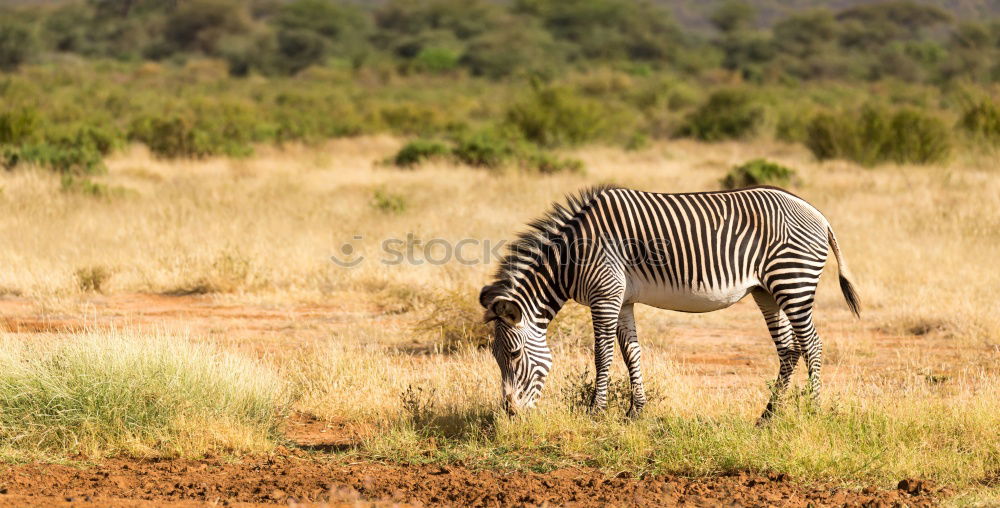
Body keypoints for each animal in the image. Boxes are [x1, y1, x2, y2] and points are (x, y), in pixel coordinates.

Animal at [478, 186, 860, 420]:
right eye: (494, 356)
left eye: (514, 355)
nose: (510, 413)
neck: (571, 258)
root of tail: (817, 213)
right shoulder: (623, 300)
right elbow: (631, 352)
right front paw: (635, 412)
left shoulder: (605, 295)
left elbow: (603, 355)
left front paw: (596, 412)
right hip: (766, 291)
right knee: (789, 349)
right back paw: (767, 416)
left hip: (793, 281)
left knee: (811, 344)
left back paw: (813, 409)